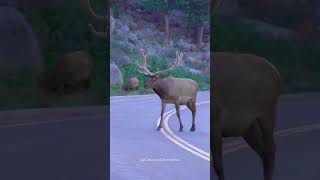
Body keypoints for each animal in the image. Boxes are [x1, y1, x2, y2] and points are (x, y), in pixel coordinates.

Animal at [211, 52, 282, 180]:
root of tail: (277, 73)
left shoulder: (215, 120)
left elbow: (217, 164)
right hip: (248, 127)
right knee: (263, 151)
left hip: (268, 113)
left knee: (270, 150)